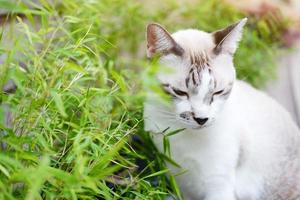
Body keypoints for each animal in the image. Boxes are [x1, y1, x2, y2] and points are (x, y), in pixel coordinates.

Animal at [142, 18, 300, 199]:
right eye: (180, 92)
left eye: (218, 92)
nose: (201, 119)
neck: (183, 134)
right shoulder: (178, 180)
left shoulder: (218, 186)